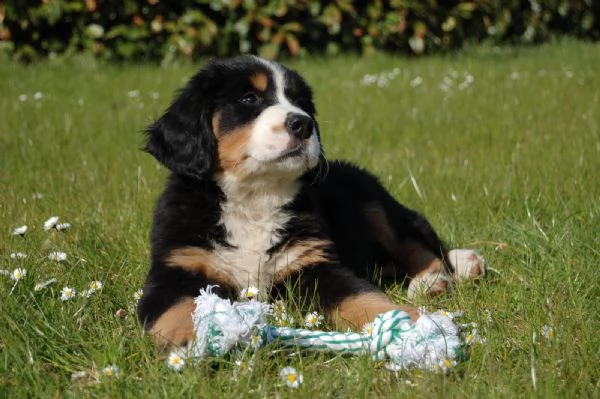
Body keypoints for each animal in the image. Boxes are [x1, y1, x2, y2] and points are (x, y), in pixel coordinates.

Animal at [136, 55, 482, 350]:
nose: (302, 124)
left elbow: (360, 296)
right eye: (249, 99)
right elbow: (178, 306)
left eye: (301, 103)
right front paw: (192, 338)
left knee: (417, 239)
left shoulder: (313, 264)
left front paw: (407, 323)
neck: (255, 198)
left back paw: (436, 279)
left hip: (373, 202)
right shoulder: (176, 268)